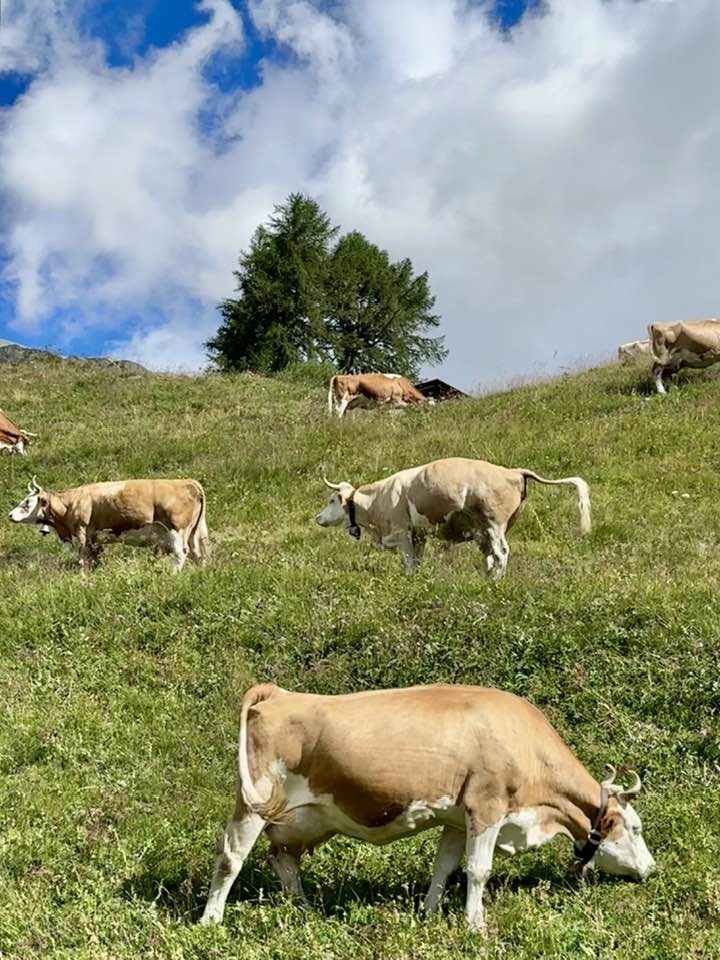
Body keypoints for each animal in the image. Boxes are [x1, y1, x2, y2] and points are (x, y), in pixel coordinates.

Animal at [8, 476, 209, 570]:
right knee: (197, 554)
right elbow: (96, 559)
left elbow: (84, 561)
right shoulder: (94, 539)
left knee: (181, 554)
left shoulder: (81, 534)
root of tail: (187, 482)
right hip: (193, 533)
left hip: (177, 531)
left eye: (27, 502)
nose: (10, 515)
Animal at [200, 683, 655, 932]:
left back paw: (304, 907)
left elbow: (445, 867)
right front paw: (475, 925)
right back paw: (211, 919)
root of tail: (279, 694)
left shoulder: (456, 819)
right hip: (253, 802)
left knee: (283, 858)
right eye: (634, 828)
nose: (651, 869)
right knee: (231, 858)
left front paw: (431, 911)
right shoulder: (486, 807)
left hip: (304, 818)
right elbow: (478, 870)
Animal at [315, 457, 591, 578]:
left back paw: (497, 581)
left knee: (501, 554)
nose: (318, 518)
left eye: (331, 500)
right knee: (490, 556)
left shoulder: (403, 531)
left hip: (494, 524)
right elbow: (418, 561)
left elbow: (409, 562)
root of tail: (512, 471)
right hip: (486, 529)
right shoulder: (419, 535)